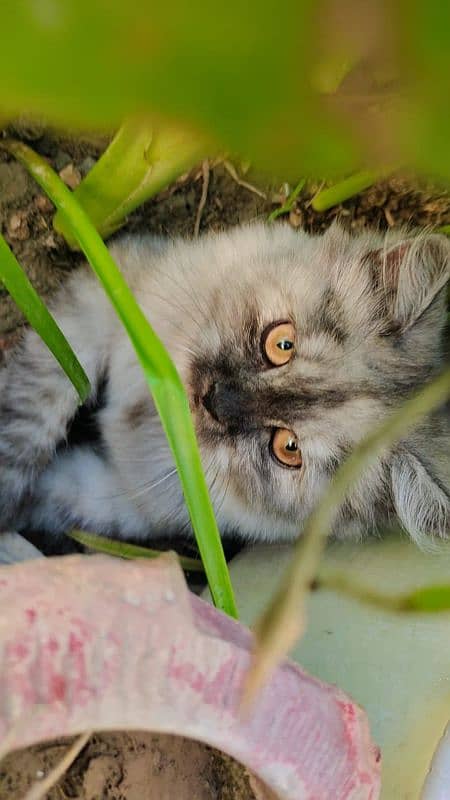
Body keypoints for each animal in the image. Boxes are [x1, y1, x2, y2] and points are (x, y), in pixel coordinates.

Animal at [0, 222, 448, 548]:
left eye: (289, 448)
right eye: (281, 344)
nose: (214, 398)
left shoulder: (120, 497)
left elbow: (49, 493)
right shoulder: (105, 294)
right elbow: (33, 413)